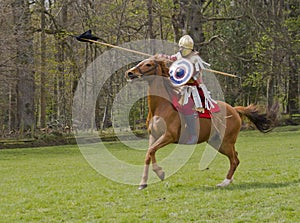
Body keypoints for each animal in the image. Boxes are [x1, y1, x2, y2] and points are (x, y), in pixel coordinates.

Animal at [124, 55, 276, 189]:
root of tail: (234, 109)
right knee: (235, 157)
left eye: (148, 64)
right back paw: (229, 180)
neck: (161, 106)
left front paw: (160, 173)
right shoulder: (153, 136)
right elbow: (149, 154)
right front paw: (143, 183)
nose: (129, 73)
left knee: (234, 160)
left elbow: (151, 151)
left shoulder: (169, 136)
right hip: (216, 142)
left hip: (225, 141)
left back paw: (225, 182)